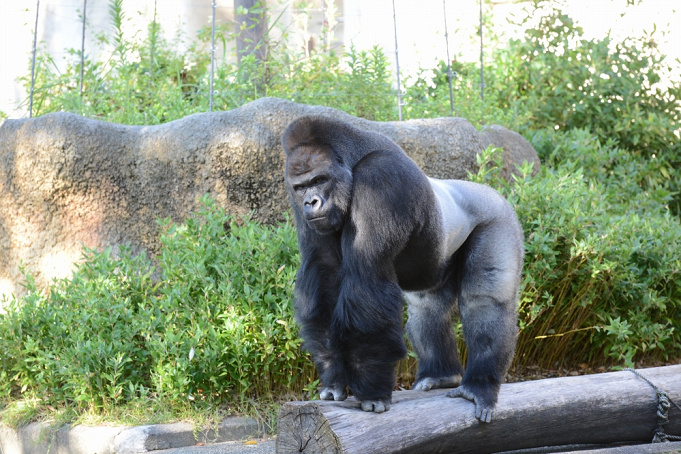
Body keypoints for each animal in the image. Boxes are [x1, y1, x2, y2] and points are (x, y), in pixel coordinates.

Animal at [278, 116, 524, 422]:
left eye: (320, 180)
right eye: (301, 187)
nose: (311, 202)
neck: (353, 161)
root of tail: (491, 191)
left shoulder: (380, 178)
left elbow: (368, 279)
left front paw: (371, 390)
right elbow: (324, 273)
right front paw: (333, 377)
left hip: (499, 217)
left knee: (486, 302)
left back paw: (479, 386)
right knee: (428, 308)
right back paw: (443, 375)